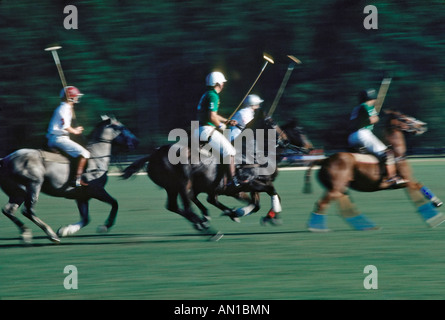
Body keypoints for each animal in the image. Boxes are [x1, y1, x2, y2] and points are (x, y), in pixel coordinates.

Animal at [0, 116, 138, 244]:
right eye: (122, 127)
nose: (136, 141)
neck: (96, 158)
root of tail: (6, 159)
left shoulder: (82, 197)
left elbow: (86, 218)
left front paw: (65, 230)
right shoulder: (97, 190)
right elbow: (115, 203)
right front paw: (105, 226)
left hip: (18, 192)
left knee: (8, 210)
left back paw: (26, 233)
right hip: (33, 185)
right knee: (28, 210)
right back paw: (51, 235)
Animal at [119, 114, 310, 239]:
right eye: (274, 124)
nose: (309, 148)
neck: (252, 152)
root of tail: (152, 155)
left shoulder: (248, 185)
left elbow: (258, 202)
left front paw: (242, 213)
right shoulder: (250, 183)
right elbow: (270, 193)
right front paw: (260, 215)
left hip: (174, 187)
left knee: (177, 206)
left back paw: (208, 221)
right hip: (183, 184)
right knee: (188, 206)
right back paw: (209, 229)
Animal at [304, 109, 442, 230]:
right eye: (404, 118)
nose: (423, 126)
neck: (398, 153)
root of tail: (325, 160)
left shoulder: (404, 182)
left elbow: (419, 187)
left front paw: (435, 209)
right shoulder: (406, 180)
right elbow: (419, 186)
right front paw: (436, 208)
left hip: (340, 188)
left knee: (344, 206)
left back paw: (367, 226)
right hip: (336, 187)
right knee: (323, 203)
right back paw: (317, 228)